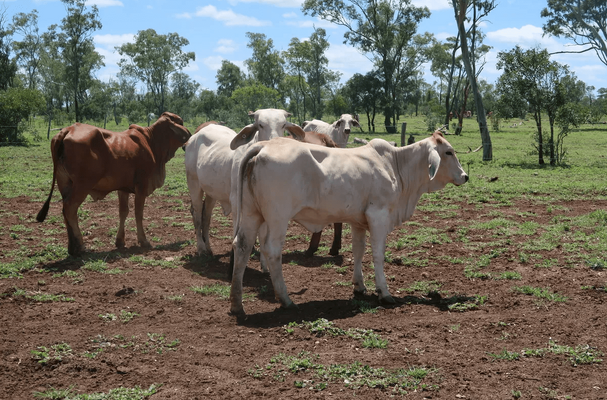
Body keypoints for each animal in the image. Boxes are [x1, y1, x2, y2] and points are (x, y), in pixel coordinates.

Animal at [36, 112, 191, 256]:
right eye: (181, 122)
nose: (188, 140)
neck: (151, 141)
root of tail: (68, 130)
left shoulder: (123, 188)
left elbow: (123, 212)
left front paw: (120, 241)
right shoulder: (141, 186)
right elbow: (138, 213)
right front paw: (143, 240)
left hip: (64, 183)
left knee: (65, 211)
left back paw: (72, 247)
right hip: (82, 185)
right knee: (70, 208)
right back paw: (80, 245)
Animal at [185, 108, 306, 255]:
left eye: (283, 125)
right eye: (260, 125)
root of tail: (194, 137)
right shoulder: (236, 201)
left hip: (211, 191)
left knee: (206, 215)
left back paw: (208, 247)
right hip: (193, 183)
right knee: (196, 213)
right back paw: (201, 248)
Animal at [228, 131, 470, 316]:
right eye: (448, 152)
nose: (465, 176)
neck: (395, 166)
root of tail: (263, 146)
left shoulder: (358, 221)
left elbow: (358, 251)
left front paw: (359, 286)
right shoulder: (378, 216)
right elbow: (378, 255)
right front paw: (384, 292)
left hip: (251, 214)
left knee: (242, 246)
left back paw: (237, 304)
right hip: (278, 218)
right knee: (272, 250)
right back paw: (285, 299)